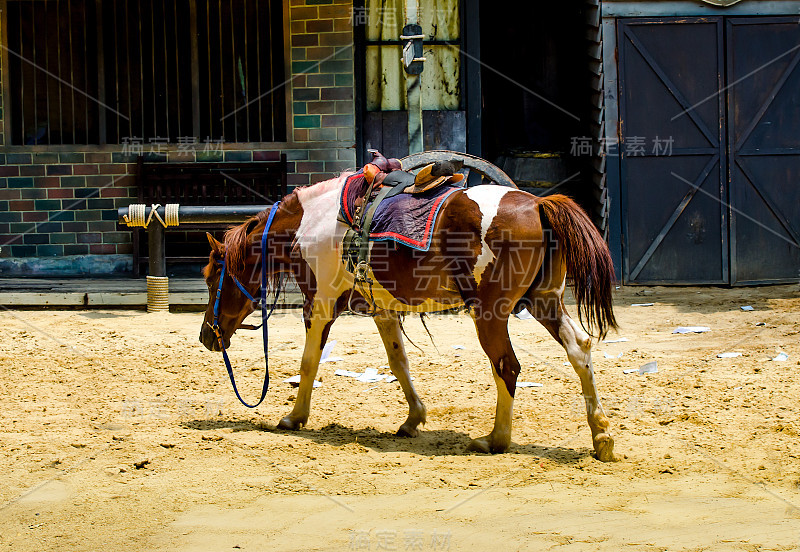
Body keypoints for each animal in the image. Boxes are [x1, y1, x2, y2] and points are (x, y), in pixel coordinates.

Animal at [198, 174, 620, 462]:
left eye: (212, 276)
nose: (207, 335)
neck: (311, 224)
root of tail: (537, 205)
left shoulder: (319, 305)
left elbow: (308, 362)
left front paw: (294, 417)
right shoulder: (382, 310)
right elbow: (398, 362)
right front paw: (413, 419)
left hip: (491, 314)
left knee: (507, 365)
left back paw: (495, 439)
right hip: (545, 303)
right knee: (580, 350)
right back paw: (601, 436)